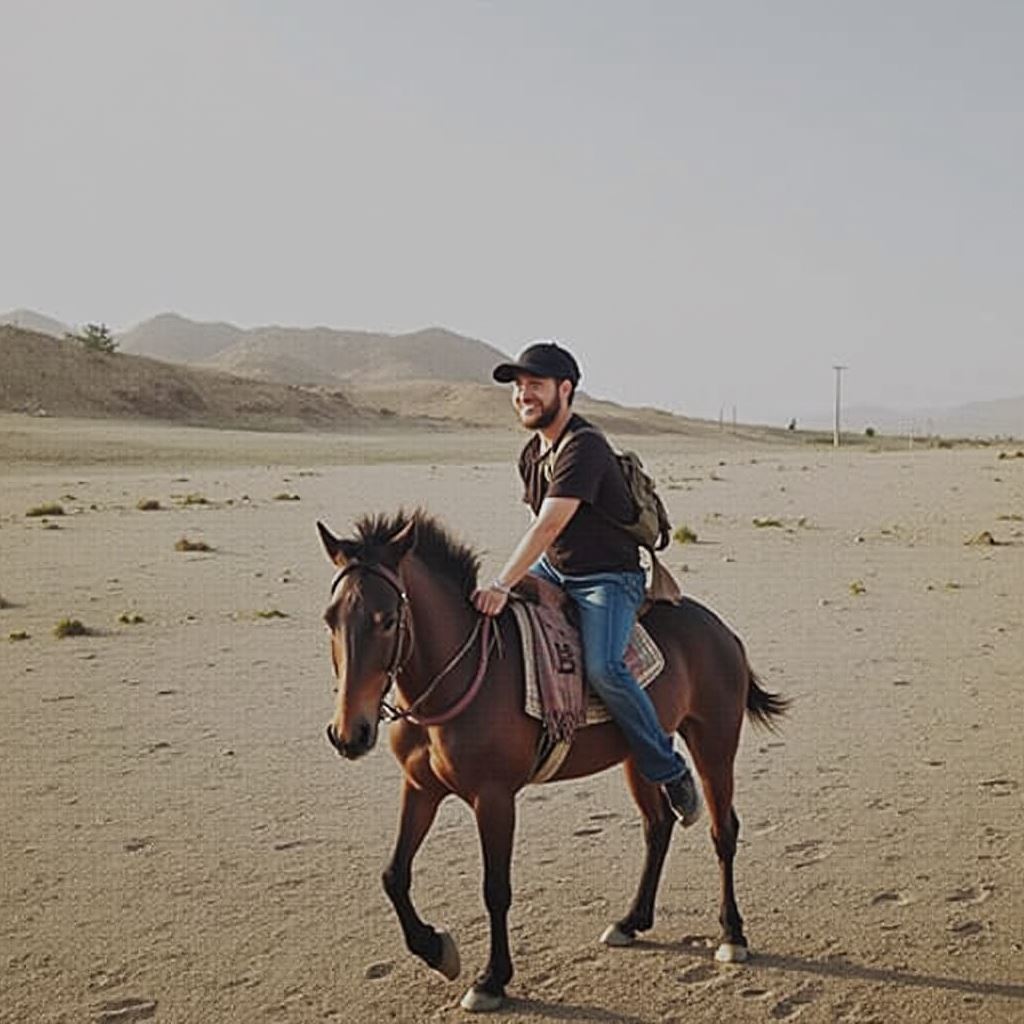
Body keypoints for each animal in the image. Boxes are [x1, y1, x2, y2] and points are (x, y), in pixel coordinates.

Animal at [315, 512, 786, 1015]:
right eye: (330, 619)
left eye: (387, 620)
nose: (349, 732)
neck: (460, 674)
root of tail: (719, 628)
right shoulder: (420, 788)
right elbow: (394, 876)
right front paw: (436, 949)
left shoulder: (494, 798)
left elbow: (495, 889)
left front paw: (492, 979)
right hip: (639, 752)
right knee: (658, 826)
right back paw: (632, 920)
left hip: (714, 743)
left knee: (723, 831)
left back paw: (732, 934)